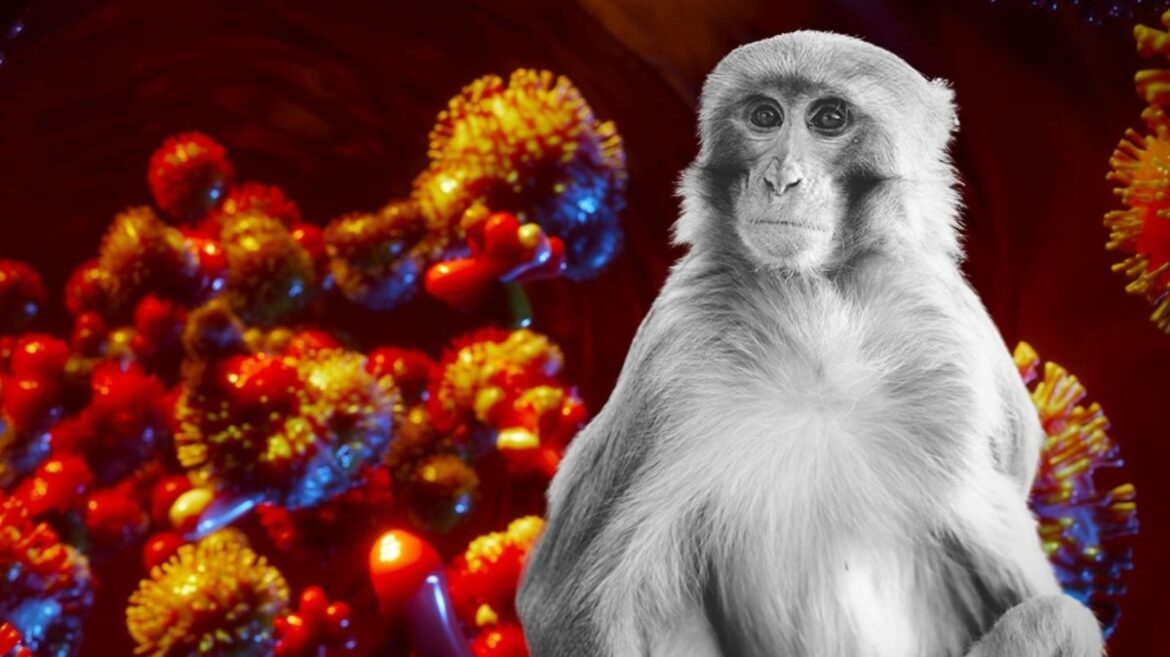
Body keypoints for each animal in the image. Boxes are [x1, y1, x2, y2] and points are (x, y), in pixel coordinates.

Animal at [515, 31, 1105, 657]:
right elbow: (565, 599)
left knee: (1055, 616)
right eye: (764, 116)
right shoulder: (676, 351)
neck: (819, 316)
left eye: (829, 119)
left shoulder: (950, 336)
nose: (779, 179)